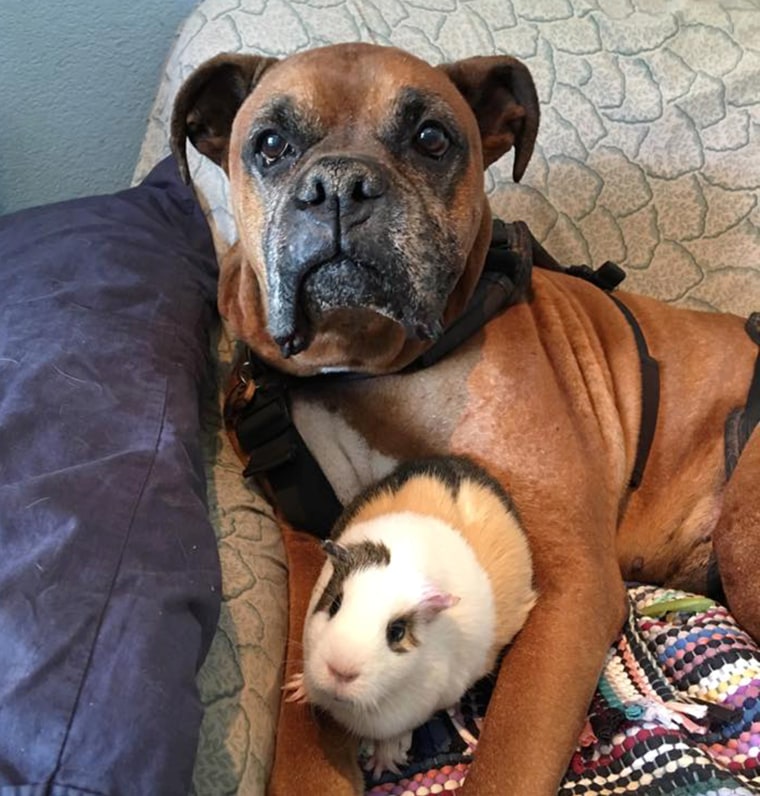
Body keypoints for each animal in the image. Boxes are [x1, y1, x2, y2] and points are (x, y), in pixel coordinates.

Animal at [171, 43, 760, 796]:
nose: (339, 187)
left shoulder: (573, 582)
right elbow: (301, 735)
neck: (366, 366)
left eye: (431, 139)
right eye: (271, 145)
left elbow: (510, 750)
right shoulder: (313, 554)